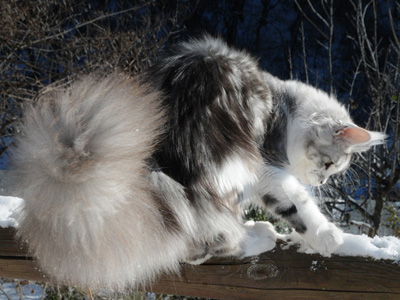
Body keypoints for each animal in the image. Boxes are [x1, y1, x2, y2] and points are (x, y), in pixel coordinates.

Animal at [10, 35, 386, 290]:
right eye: (330, 165)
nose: (322, 182)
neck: (287, 109)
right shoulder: (267, 167)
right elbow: (299, 204)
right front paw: (330, 236)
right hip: (233, 166)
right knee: (213, 238)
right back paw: (256, 236)